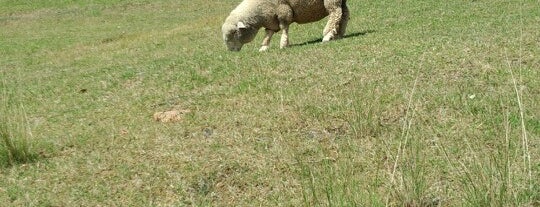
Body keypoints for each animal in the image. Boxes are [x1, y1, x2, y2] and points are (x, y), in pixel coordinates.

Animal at [220, 0, 350, 51]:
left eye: (234, 33)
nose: (230, 51)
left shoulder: (283, 11)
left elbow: (284, 28)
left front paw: (283, 44)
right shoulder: (271, 19)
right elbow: (268, 33)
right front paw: (264, 47)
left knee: (335, 13)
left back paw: (327, 35)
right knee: (344, 14)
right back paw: (339, 34)